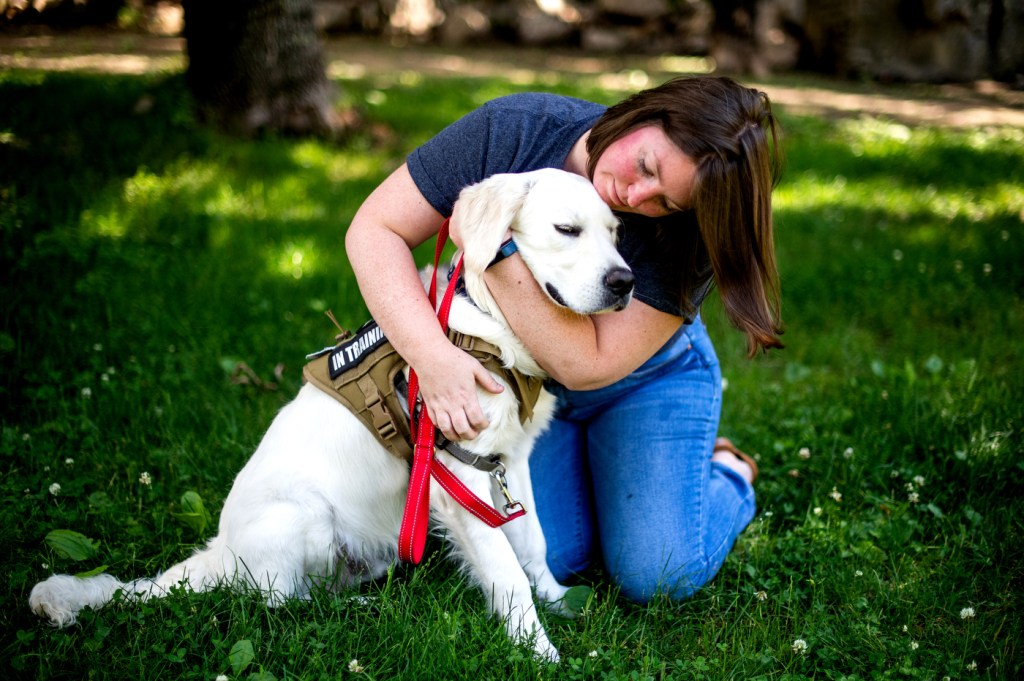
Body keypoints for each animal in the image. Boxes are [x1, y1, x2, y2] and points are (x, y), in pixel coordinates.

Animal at [29, 166, 630, 659]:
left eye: (616, 233)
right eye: (567, 229)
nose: (625, 283)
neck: (488, 330)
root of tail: (220, 552)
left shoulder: (510, 462)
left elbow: (534, 541)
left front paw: (559, 599)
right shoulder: (457, 473)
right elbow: (506, 570)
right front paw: (540, 652)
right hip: (306, 517)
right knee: (277, 602)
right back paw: (355, 611)